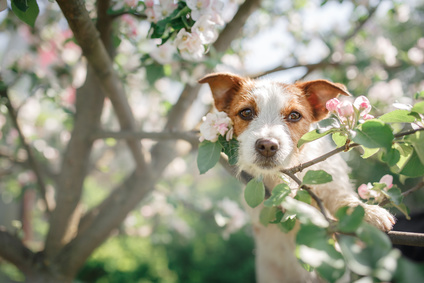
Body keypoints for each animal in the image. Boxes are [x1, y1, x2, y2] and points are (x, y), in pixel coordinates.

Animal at [200, 73, 396, 283]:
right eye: (246, 112)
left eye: (294, 115)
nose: (267, 146)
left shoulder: (332, 178)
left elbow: (341, 197)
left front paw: (368, 213)